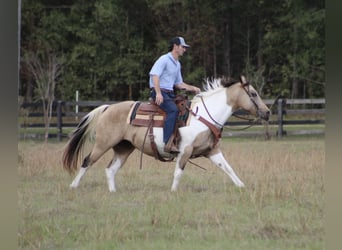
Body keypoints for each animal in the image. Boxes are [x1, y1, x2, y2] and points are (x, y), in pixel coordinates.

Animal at [62, 75, 270, 191]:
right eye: (253, 94)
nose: (267, 112)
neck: (204, 115)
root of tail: (107, 108)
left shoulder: (212, 151)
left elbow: (227, 168)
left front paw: (242, 186)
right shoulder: (185, 150)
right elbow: (178, 172)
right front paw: (173, 192)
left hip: (124, 148)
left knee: (110, 169)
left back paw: (113, 192)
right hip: (103, 143)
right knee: (87, 161)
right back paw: (73, 186)